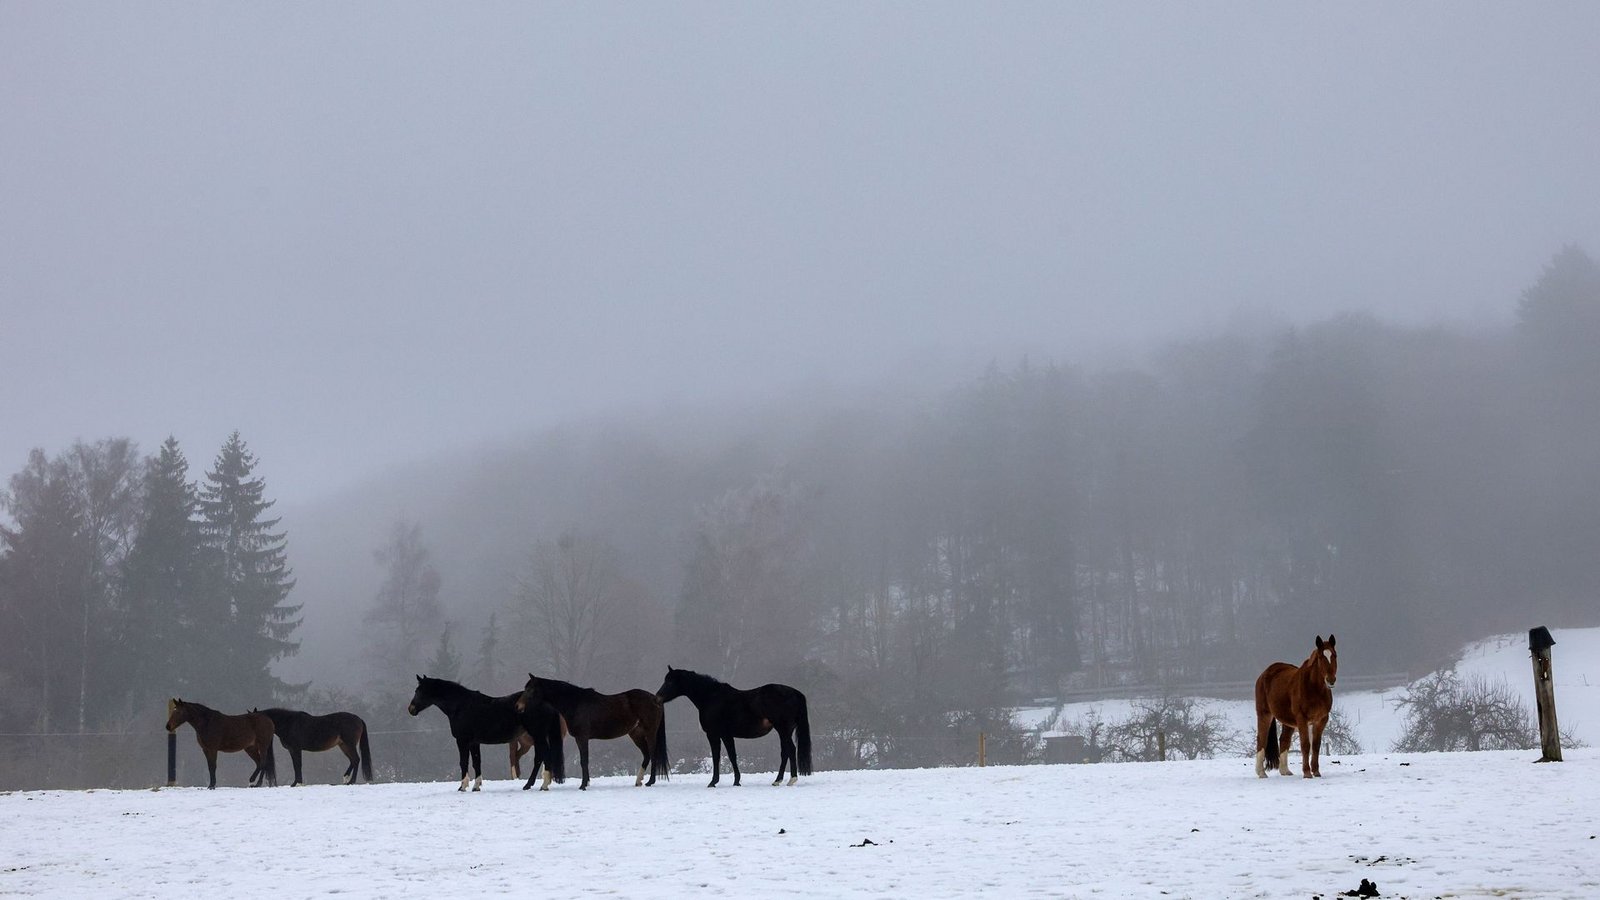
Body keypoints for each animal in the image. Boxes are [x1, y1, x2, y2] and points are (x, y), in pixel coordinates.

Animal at [407, 675, 565, 792]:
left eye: (419, 691)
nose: (411, 709)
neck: (460, 706)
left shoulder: (462, 740)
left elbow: (463, 762)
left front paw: (462, 786)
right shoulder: (474, 742)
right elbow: (477, 762)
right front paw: (476, 786)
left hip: (537, 735)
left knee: (542, 756)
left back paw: (538, 785)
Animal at [516, 675, 669, 790]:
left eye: (530, 689)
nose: (518, 706)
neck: (576, 703)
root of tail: (656, 699)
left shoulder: (582, 738)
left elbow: (584, 761)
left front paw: (583, 785)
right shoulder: (580, 739)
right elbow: (584, 760)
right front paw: (586, 782)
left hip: (650, 733)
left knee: (653, 755)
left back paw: (650, 781)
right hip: (636, 734)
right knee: (646, 755)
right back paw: (639, 781)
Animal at [655, 667, 812, 787]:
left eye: (670, 681)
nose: (658, 697)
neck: (711, 697)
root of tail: (796, 693)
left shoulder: (714, 734)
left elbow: (718, 757)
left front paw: (714, 782)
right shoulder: (726, 735)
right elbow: (731, 756)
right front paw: (736, 781)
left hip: (783, 729)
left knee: (790, 750)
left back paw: (791, 779)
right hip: (784, 731)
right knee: (785, 752)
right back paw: (777, 780)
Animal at [1254, 634, 1338, 779]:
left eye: (1334, 655)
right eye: (1321, 657)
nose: (1331, 680)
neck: (1314, 688)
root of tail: (1264, 674)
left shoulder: (1321, 720)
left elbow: (1316, 746)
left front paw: (1316, 771)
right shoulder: (1302, 719)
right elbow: (1305, 745)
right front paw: (1307, 773)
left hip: (1288, 721)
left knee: (1284, 740)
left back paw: (1285, 771)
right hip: (1264, 714)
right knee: (1261, 740)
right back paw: (1261, 773)